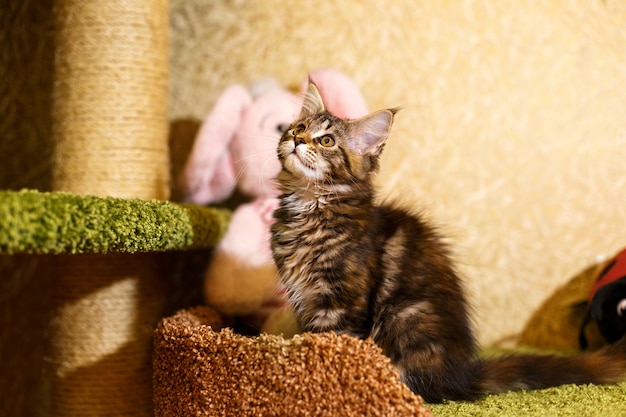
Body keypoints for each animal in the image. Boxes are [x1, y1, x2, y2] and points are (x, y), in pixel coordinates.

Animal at [270, 79, 624, 402]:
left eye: (327, 140)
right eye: (299, 127)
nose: (297, 139)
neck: (310, 206)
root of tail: (461, 375)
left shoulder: (341, 302)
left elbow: (330, 347)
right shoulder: (306, 301)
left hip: (406, 315)